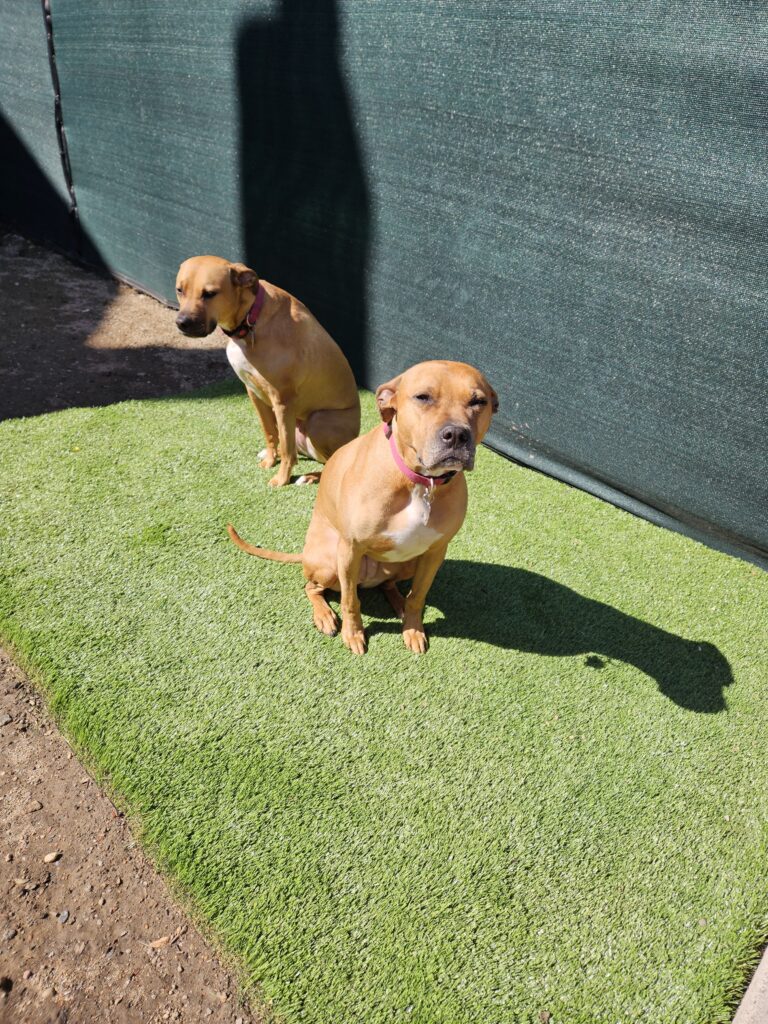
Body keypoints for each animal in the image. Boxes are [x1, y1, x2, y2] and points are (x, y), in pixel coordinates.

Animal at [174, 256, 360, 487]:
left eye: (210, 293)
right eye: (180, 290)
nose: (182, 323)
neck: (250, 320)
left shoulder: (282, 402)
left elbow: (288, 450)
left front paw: (282, 478)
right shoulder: (254, 392)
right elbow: (270, 432)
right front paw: (271, 460)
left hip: (319, 420)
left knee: (329, 462)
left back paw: (310, 476)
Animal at [227, 360, 499, 655]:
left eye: (478, 401)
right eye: (423, 397)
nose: (457, 434)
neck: (418, 481)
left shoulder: (435, 553)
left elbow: (417, 596)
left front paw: (413, 628)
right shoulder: (350, 549)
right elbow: (350, 601)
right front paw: (353, 633)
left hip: (408, 562)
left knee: (390, 585)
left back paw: (398, 605)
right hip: (329, 562)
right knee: (312, 587)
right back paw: (324, 615)